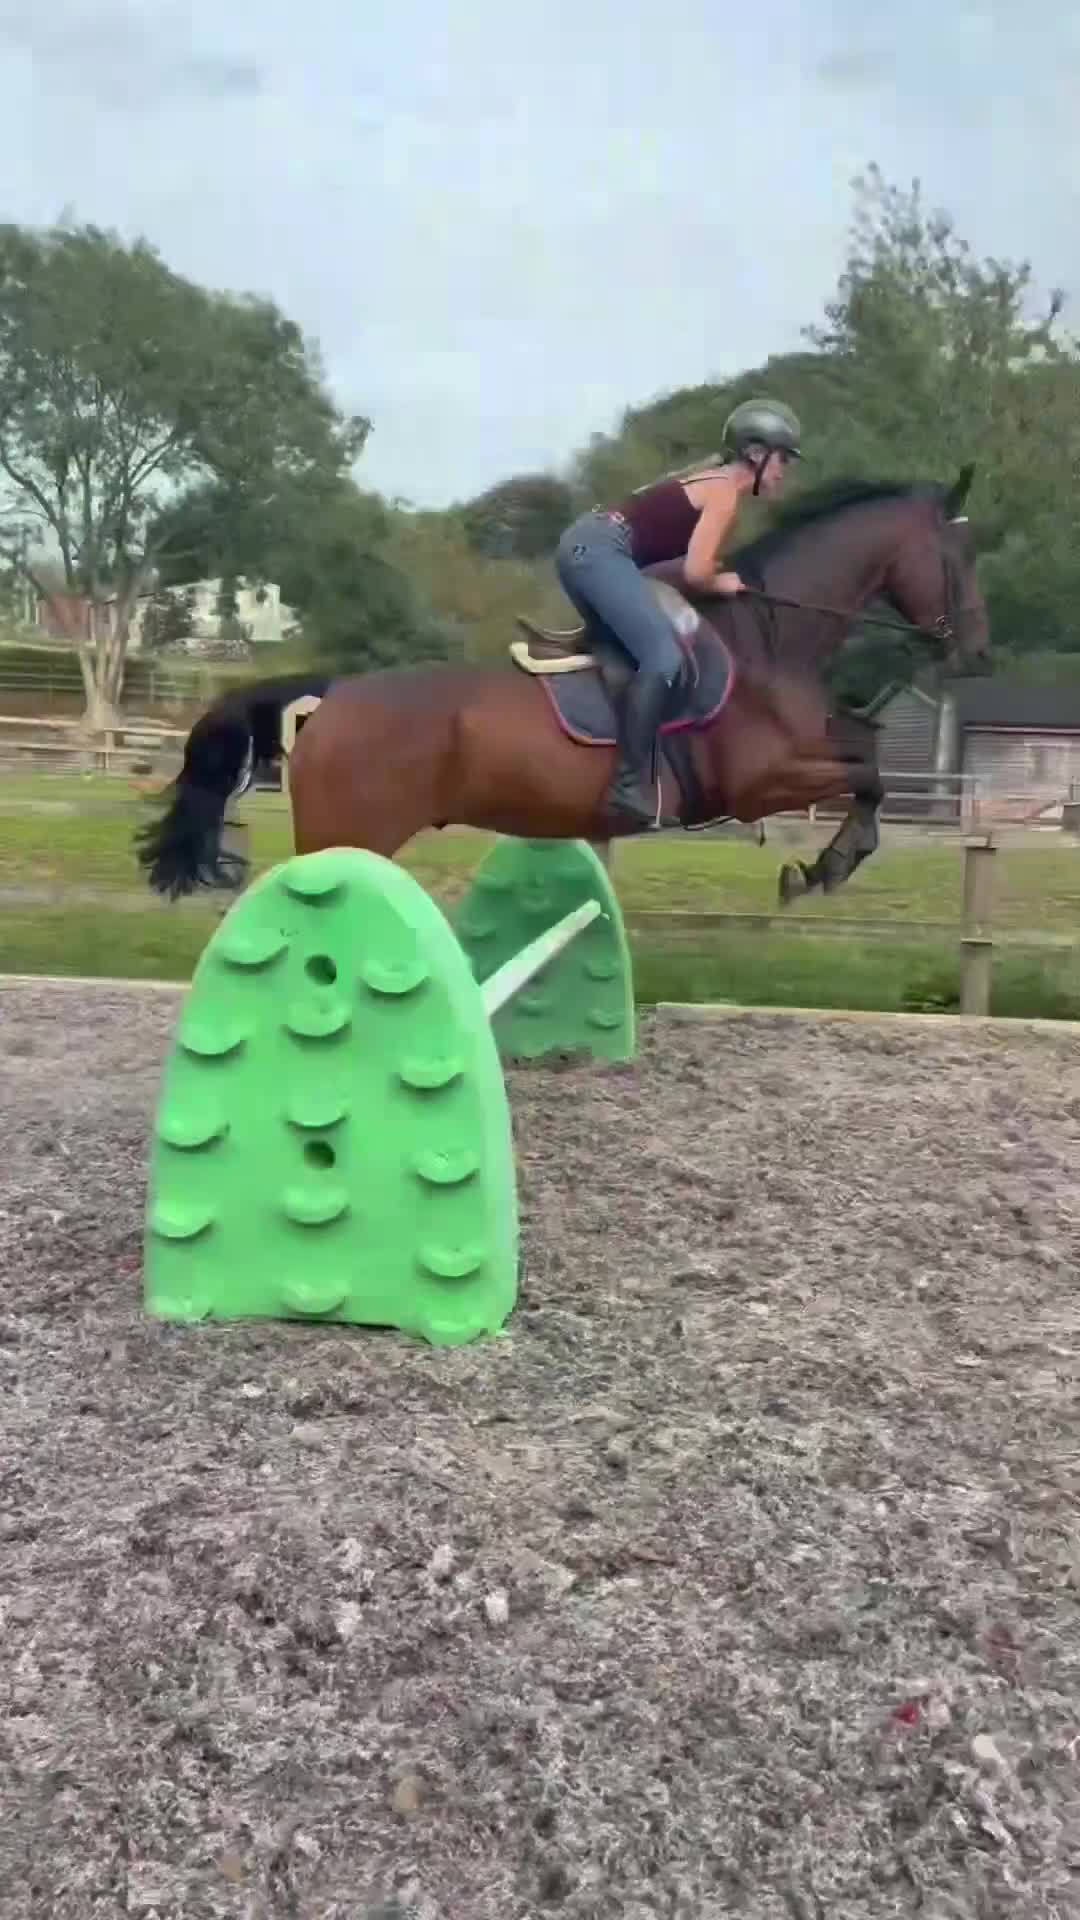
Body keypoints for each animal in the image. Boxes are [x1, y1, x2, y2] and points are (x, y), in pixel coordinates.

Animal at [134, 469, 990, 904]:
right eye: (959, 558)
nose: (977, 650)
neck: (768, 638)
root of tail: (333, 696)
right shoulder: (759, 780)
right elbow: (868, 775)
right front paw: (823, 868)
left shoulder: (807, 749)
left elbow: (868, 756)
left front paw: (821, 866)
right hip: (350, 831)